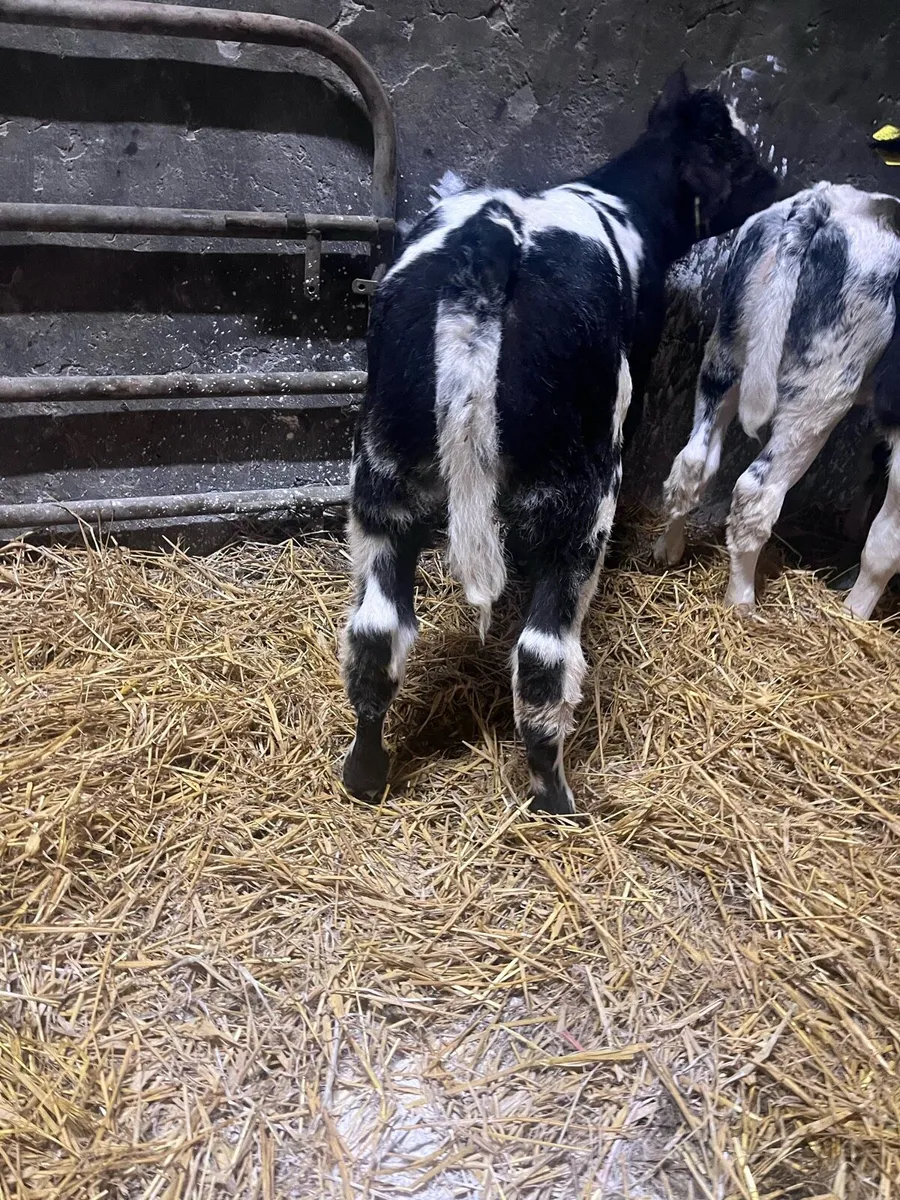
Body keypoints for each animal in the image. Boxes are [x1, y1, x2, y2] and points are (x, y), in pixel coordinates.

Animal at [340, 68, 777, 815]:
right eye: (742, 157)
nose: (777, 189)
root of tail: (488, 248)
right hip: (578, 491)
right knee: (543, 658)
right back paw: (556, 797)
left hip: (383, 471)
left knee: (376, 635)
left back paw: (365, 776)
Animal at [654, 183, 900, 620]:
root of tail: (825, 202)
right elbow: (885, 543)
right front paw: (855, 614)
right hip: (821, 391)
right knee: (756, 492)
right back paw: (741, 602)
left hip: (726, 354)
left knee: (692, 463)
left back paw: (669, 551)